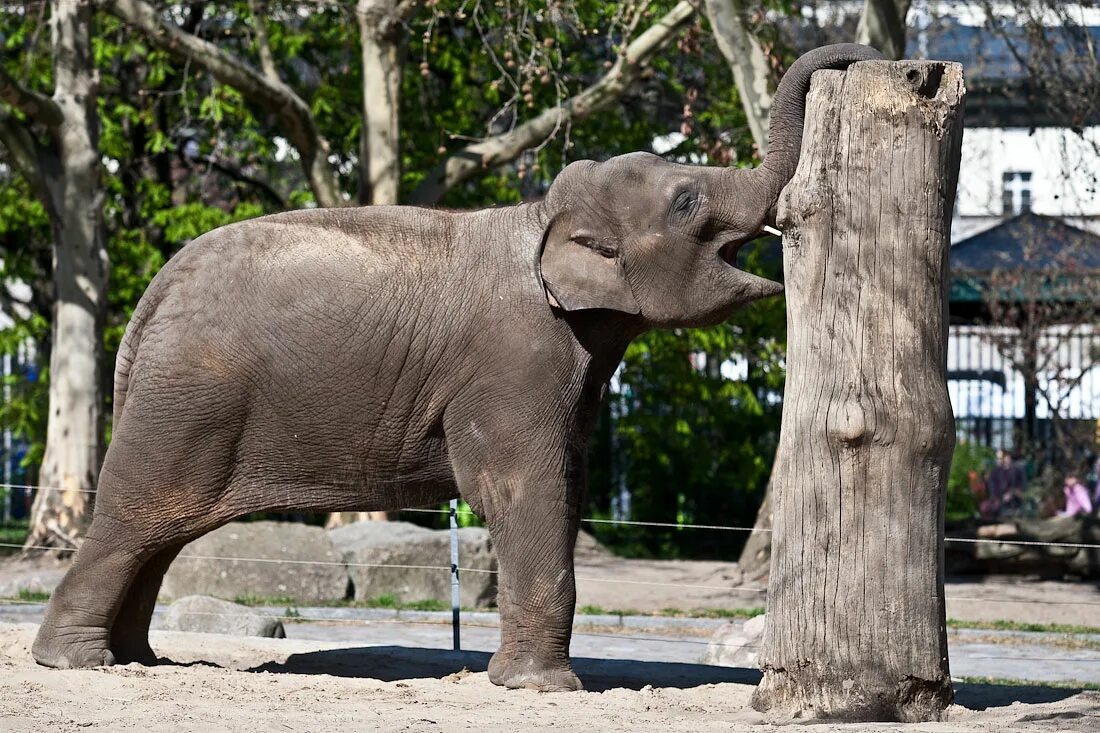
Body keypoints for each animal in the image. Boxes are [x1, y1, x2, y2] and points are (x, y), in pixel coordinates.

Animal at [32, 44, 884, 686]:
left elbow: (563, 482)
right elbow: (521, 487)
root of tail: (151, 296)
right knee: (135, 519)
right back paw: (77, 663)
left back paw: (140, 660)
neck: (543, 217)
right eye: (685, 203)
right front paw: (545, 688)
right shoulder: (516, 359)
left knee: (159, 537)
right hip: (188, 399)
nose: (867, 54)